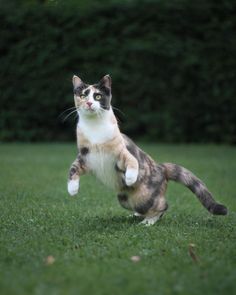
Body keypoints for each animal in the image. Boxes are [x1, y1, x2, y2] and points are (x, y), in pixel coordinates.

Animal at [67, 74, 227, 227]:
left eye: (98, 96)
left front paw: (130, 178)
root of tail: (161, 167)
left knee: (163, 206)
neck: (95, 128)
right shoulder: (84, 156)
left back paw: (148, 222)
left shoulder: (122, 153)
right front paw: (72, 189)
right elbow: (73, 169)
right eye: (83, 95)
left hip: (143, 196)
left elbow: (132, 162)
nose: (89, 103)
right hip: (123, 198)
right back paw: (135, 216)